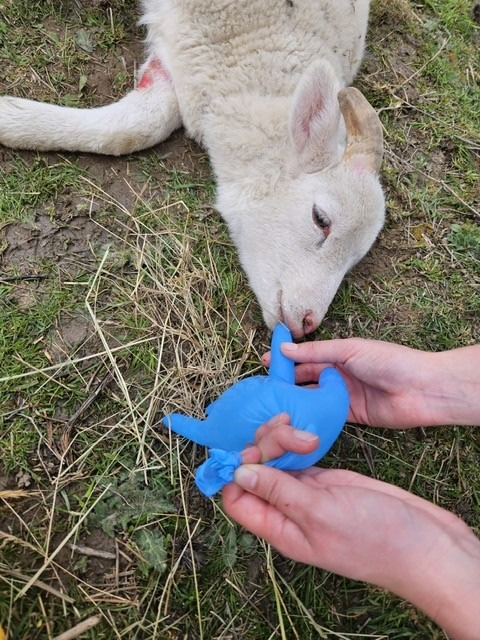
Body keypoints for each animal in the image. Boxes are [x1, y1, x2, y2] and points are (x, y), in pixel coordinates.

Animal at [0, 0, 384, 338]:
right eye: (321, 219)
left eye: (356, 258)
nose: (307, 323)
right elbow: (140, 126)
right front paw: (12, 118)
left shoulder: (188, 60)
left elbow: (144, 121)